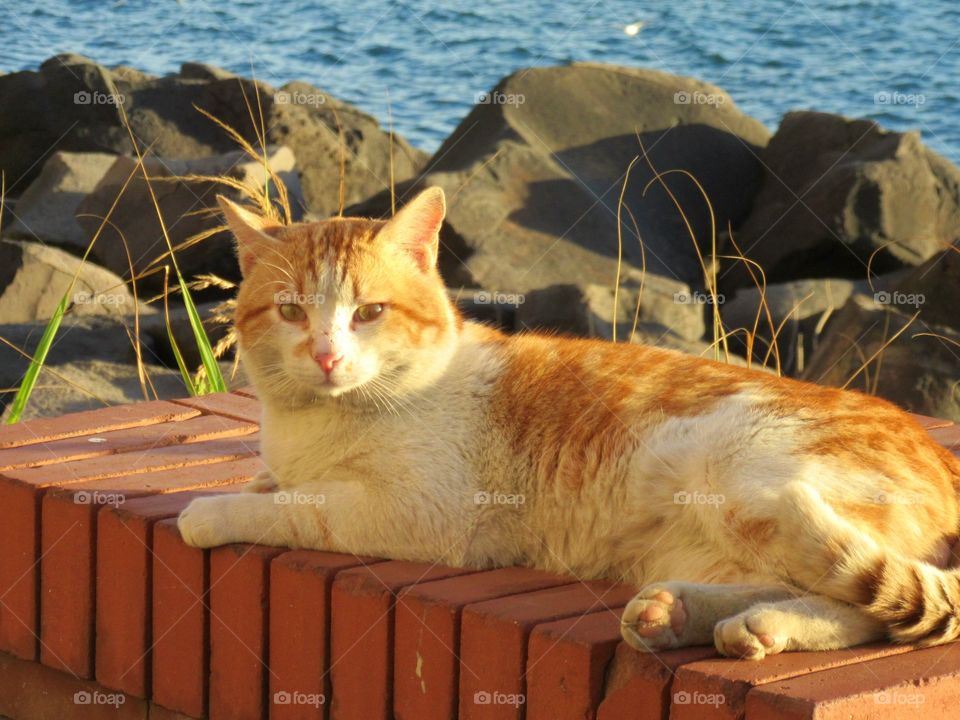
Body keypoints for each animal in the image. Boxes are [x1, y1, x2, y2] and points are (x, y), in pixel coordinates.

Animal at [178, 187, 960, 660]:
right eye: (290, 312)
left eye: (369, 312)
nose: (327, 355)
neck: (316, 423)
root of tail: (944, 458)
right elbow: (273, 486)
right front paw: (256, 485)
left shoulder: (421, 513)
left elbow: (298, 507)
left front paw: (211, 510)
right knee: (824, 586)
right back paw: (680, 616)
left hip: (749, 481)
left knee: (874, 604)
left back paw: (752, 625)